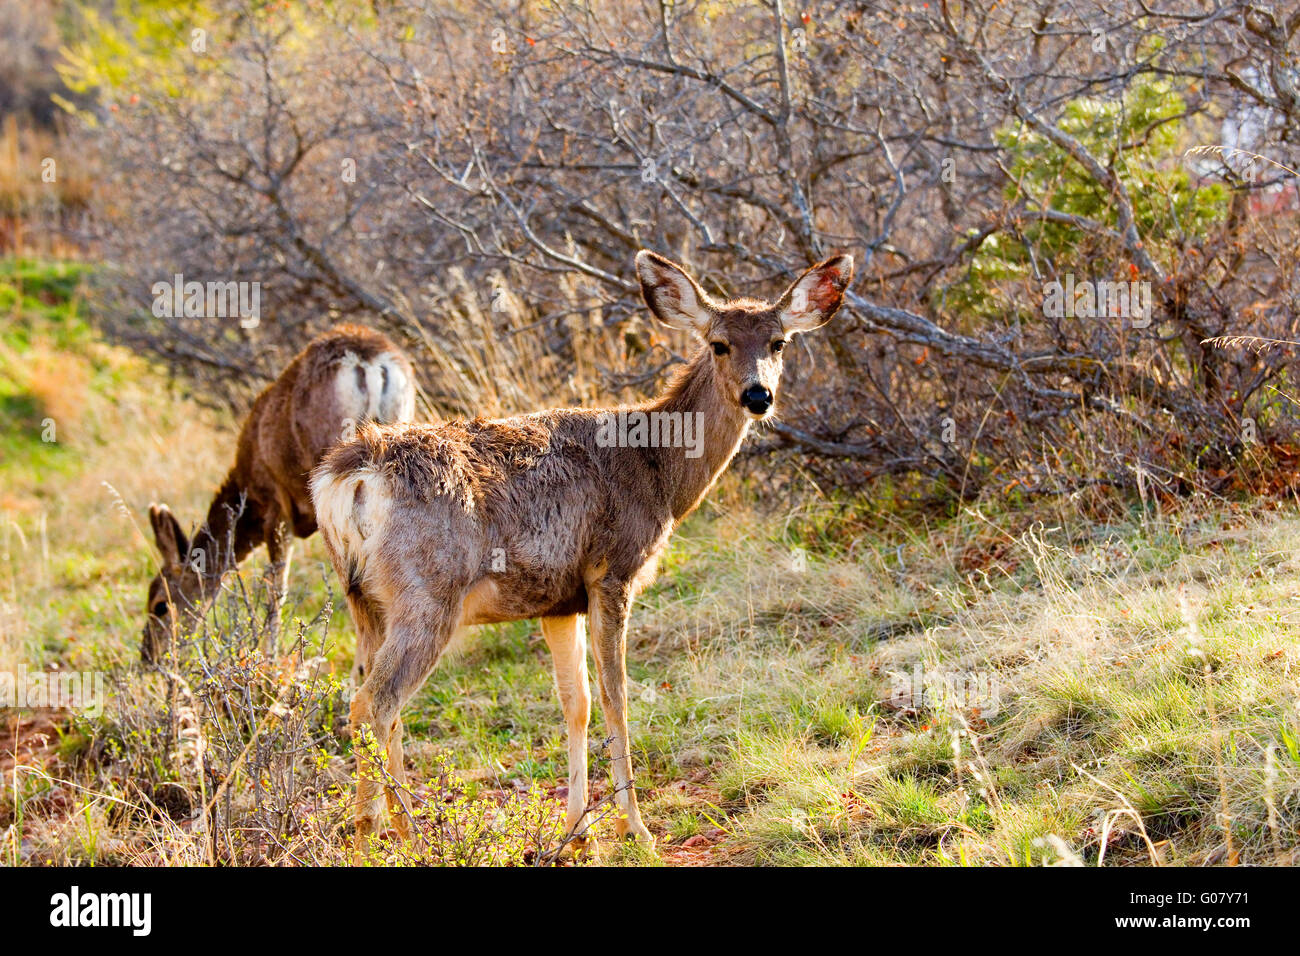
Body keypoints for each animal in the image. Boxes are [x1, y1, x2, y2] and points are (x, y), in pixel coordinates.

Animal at [142, 323, 416, 663]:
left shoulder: (277, 502)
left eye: (159, 604)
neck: (247, 492)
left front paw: (268, 656)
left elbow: (275, 587)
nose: (148, 657)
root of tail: (370, 362)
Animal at [311, 251, 852, 860]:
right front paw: (633, 827)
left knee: (381, 705)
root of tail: (351, 475)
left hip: (364, 600)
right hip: (428, 592)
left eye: (779, 342)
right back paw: (388, 837)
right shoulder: (612, 572)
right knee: (372, 705)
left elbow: (577, 702)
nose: (758, 396)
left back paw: (405, 831)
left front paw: (575, 832)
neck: (658, 467)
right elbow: (617, 697)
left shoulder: (556, 600)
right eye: (719, 343)